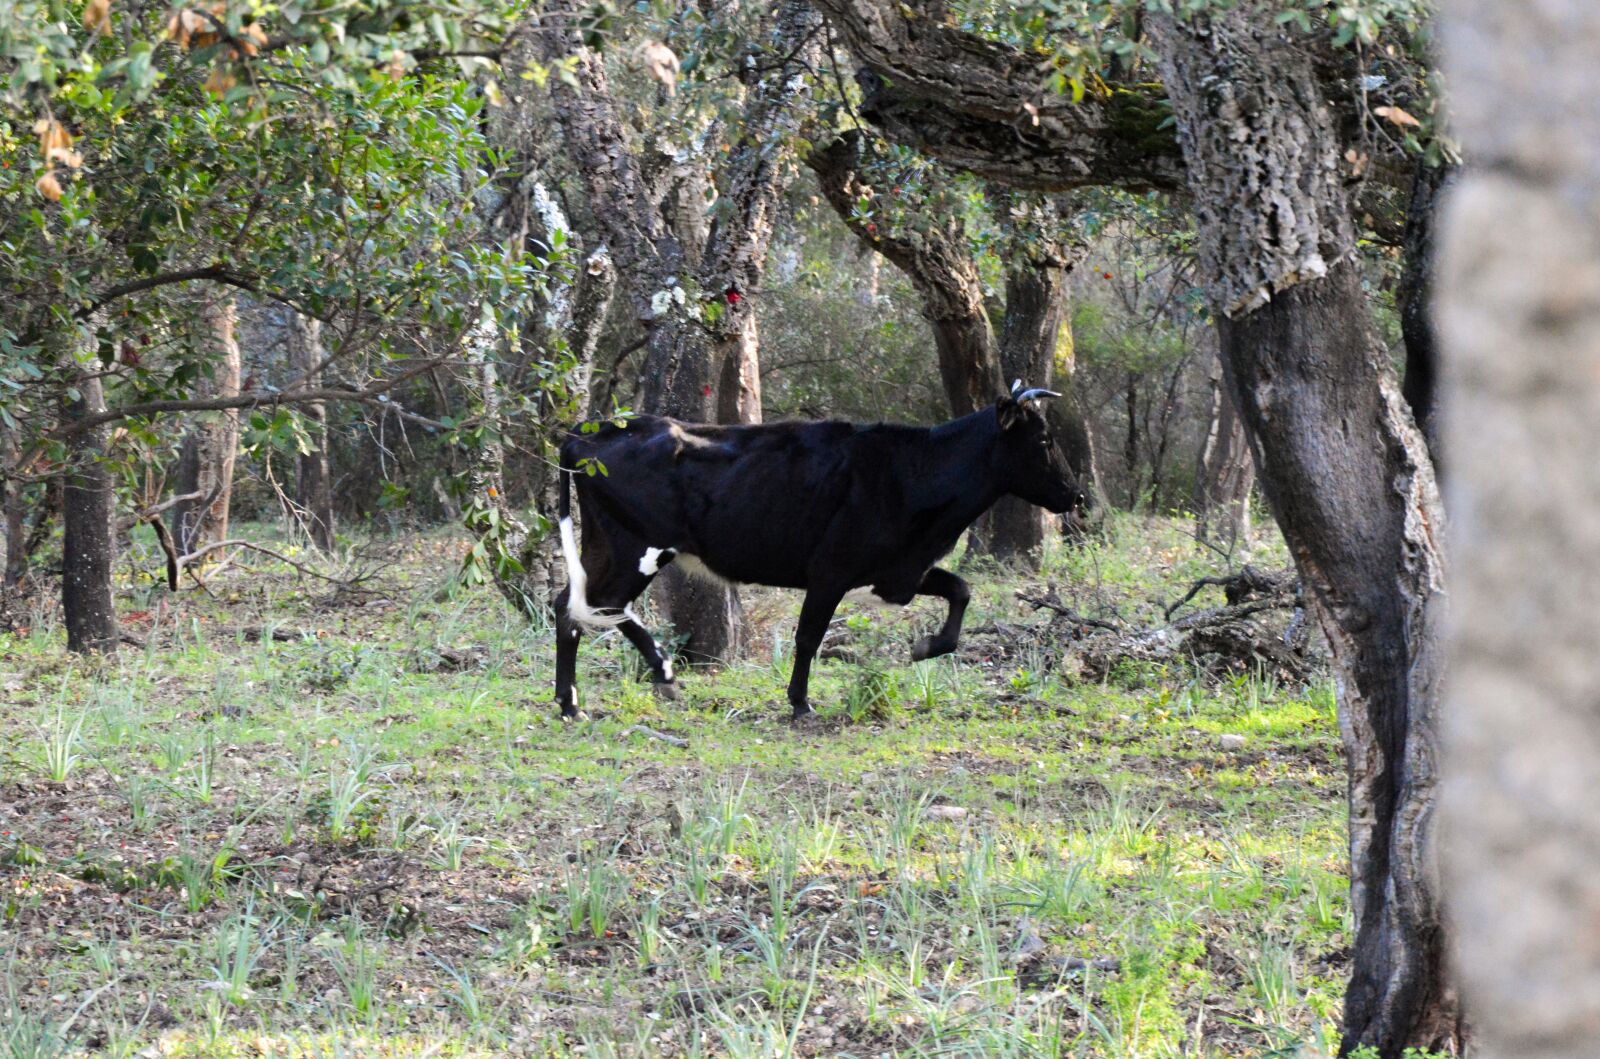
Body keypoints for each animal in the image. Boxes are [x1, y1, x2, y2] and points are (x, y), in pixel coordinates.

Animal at [552, 381, 1083, 720]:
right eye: (1043, 439)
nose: (1075, 495)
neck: (910, 471)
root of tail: (588, 430)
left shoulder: (898, 569)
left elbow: (962, 589)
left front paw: (925, 646)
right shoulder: (831, 570)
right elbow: (809, 637)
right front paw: (800, 702)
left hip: (607, 544)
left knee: (569, 608)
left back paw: (571, 702)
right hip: (635, 546)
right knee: (600, 605)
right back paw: (658, 671)